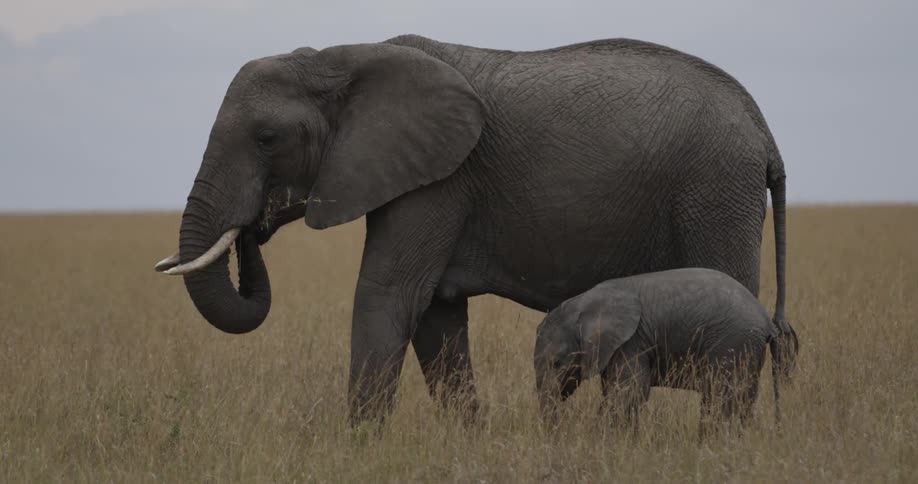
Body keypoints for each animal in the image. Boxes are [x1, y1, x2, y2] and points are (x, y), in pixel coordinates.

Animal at [533, 268, 784, 437]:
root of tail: (766, 320)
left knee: (720, 397)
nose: (557, 435)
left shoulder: (632, 341)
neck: (583, 303)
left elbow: (628, 394)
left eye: (557, 363)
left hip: (733, 342)